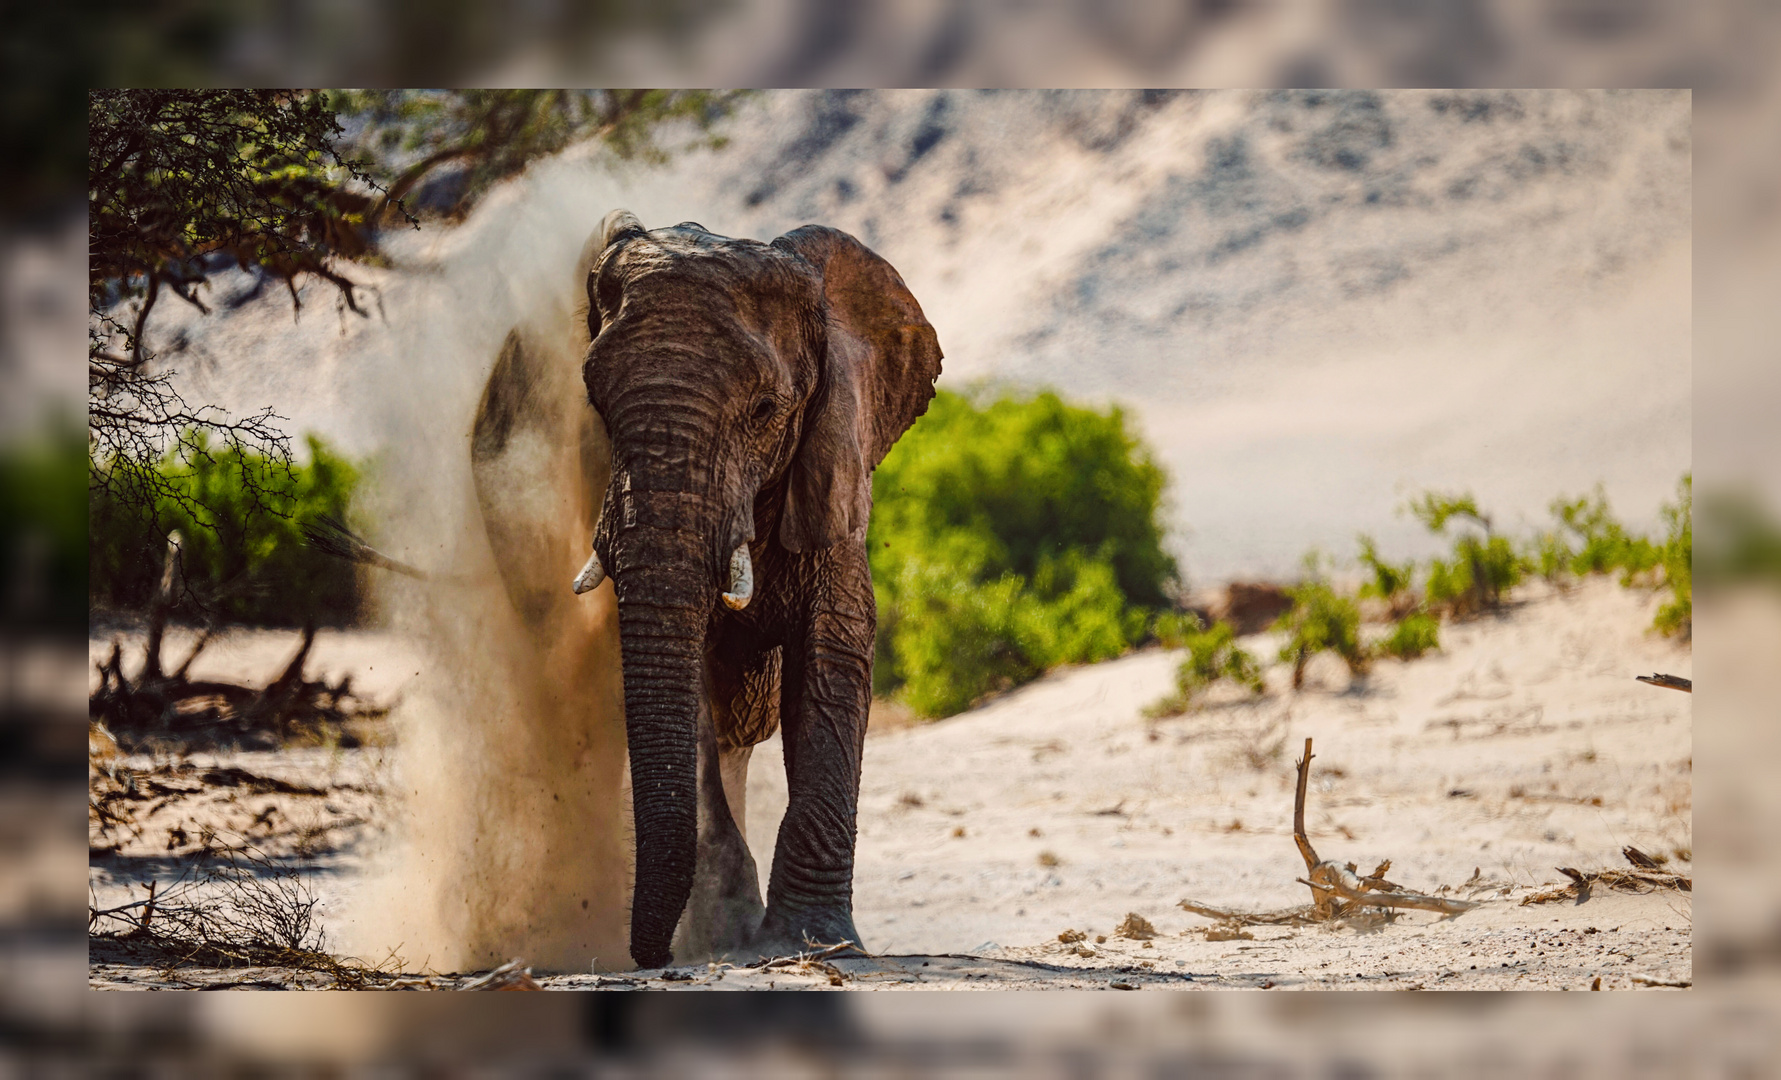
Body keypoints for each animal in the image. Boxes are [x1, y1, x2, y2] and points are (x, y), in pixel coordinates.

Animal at [473, 207, 947, 969]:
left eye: (765, 410)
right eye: (595, 403)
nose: (651, 958)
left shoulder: (836, 466)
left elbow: (833, 660)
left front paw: (810, 940)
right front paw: (725, 930)